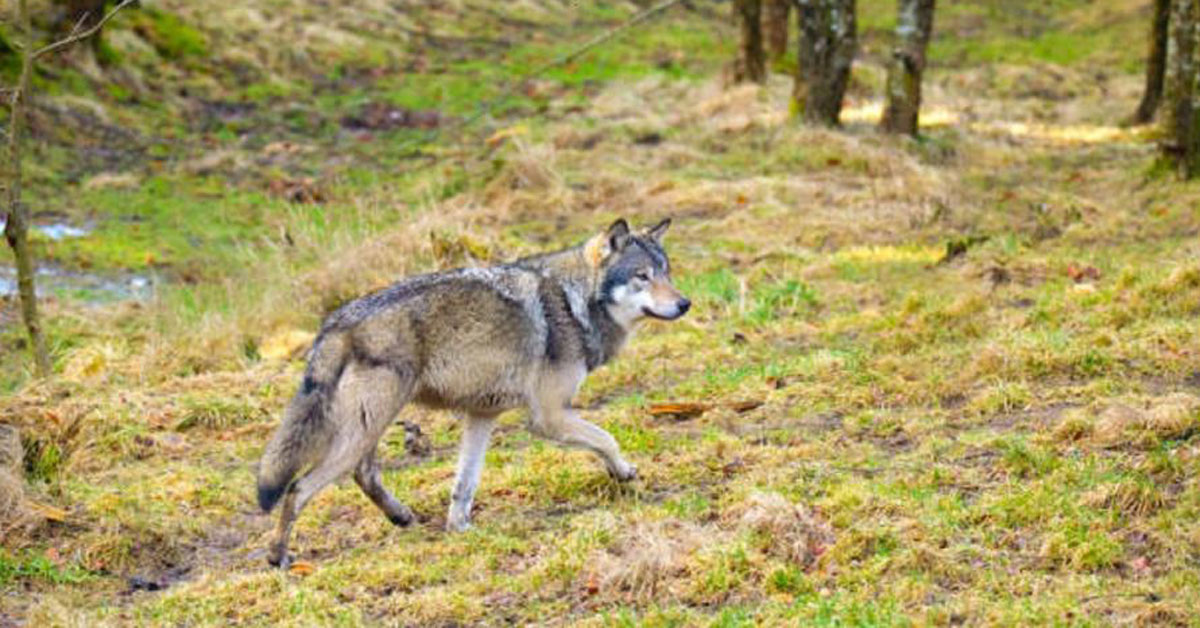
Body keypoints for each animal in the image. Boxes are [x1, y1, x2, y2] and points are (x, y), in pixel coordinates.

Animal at [256, 218, 690, 567]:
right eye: (642, 276)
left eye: (666, 273)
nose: (685, 303)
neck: (574, 302)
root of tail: (334, 324)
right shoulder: (548, 416)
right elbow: (607, 439)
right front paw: (625, 472)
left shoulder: (483, 415)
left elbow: (464, 485)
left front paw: (460, 530)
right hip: (366, 427)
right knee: (298, 488)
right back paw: (279, 556)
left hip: (368, 427)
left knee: (364, 474)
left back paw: (402, 517)